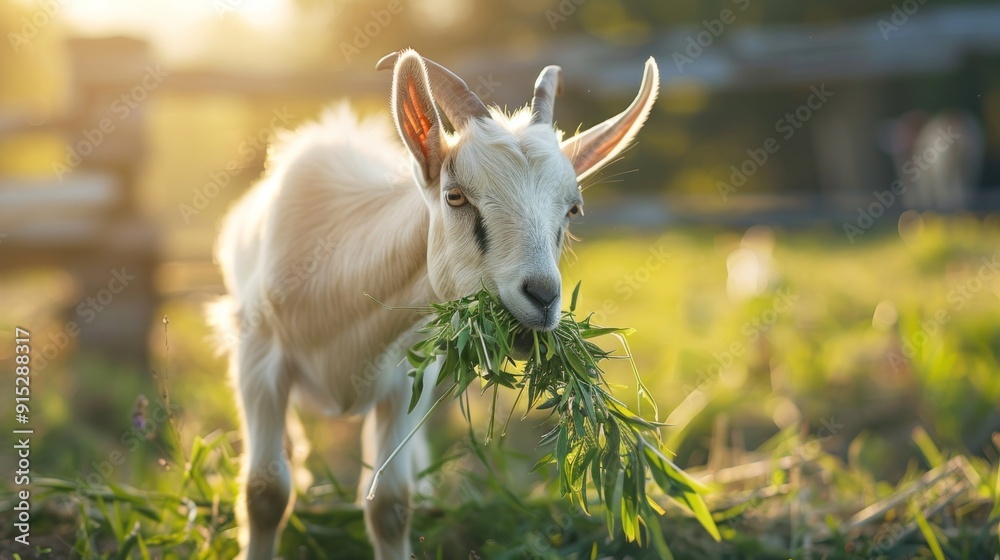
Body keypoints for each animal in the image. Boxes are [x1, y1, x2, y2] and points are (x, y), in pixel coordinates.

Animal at [209, 49, 659, 559]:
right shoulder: (258, 360)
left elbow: (390, 503)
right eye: (456, 196)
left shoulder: (407, 372)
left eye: (572, 210)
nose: (542, 297)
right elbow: (265, 492)